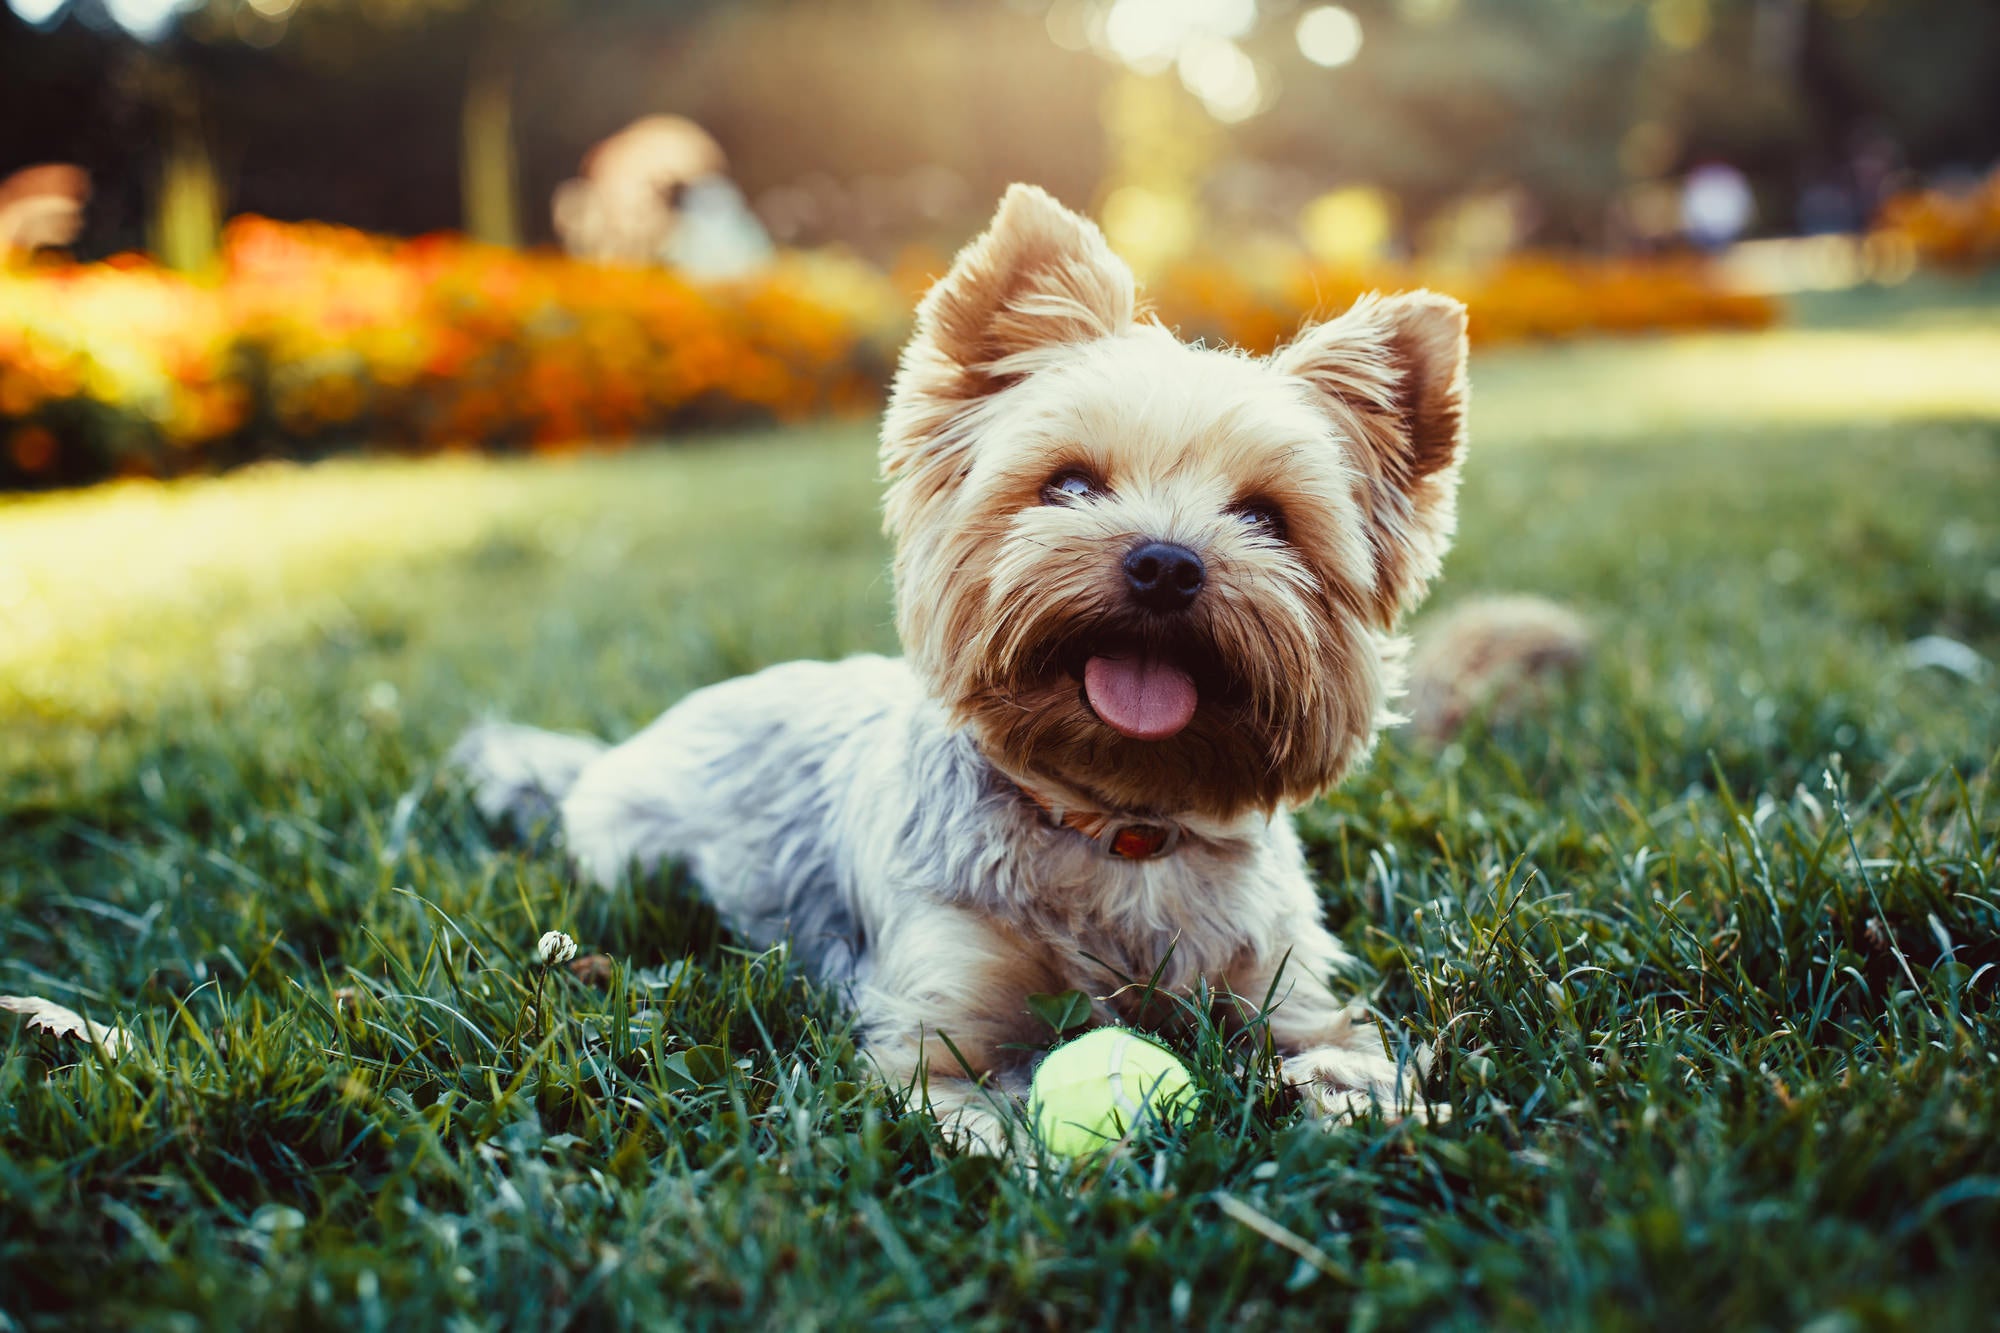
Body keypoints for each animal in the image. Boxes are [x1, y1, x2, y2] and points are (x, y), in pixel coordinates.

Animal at [460, 182, 1480, 1144]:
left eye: (1267, 516)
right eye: (1069, 484)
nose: (1165, 563)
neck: (1117, 826)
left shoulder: (1287, 985)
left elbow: (1340, 1050)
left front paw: (1368, 1107)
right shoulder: (937, 1027)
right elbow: (980, 1111)